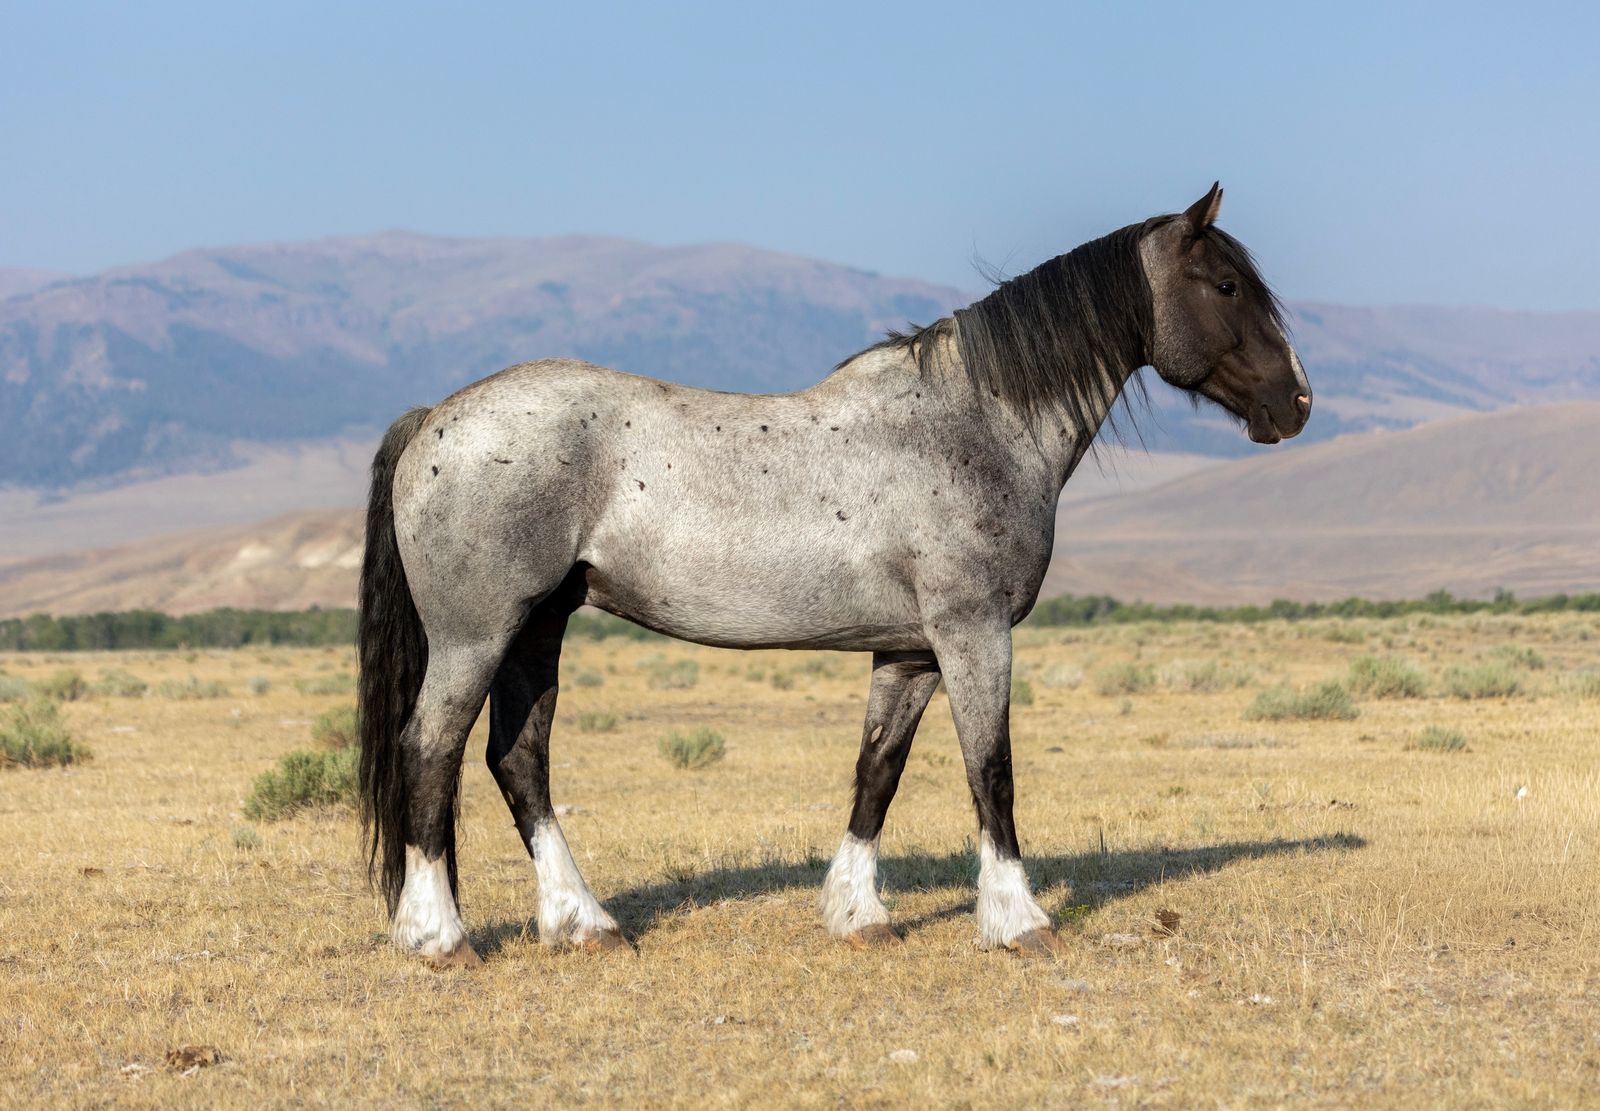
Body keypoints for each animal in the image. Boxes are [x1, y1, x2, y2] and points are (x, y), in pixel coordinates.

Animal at [356, 183, 1312, 965]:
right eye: (1227, 287)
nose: (1296, 402)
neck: (973, 422)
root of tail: (436, 417)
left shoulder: (910, 652)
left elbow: (877, 770)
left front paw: (858, 914)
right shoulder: (973, 634)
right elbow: (992, 769)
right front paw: (1019, 919)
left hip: (538, 627)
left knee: (518, 760)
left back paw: (583, 923)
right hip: (478, 635)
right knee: (429, 750)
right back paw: (440, 936)